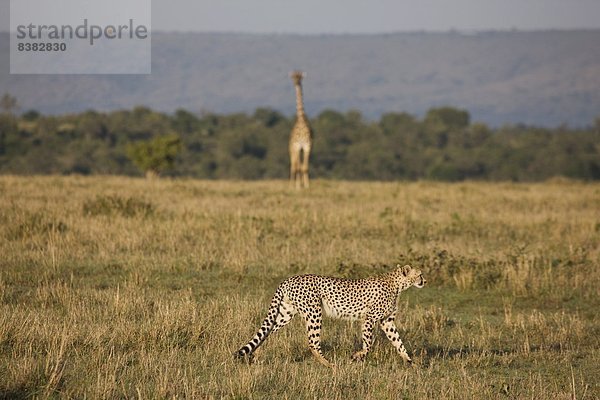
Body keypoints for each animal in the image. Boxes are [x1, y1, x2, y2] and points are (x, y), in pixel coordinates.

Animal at [236, 264, 426, 368]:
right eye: (420, 274)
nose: (425, 281)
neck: (397, 284)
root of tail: (288, 279)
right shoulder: (369, 319)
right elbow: (369, 343)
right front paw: (358, 356)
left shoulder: (387, 321)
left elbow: (398, 342)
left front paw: (411, 362)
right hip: (314, 312)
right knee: (313, 343)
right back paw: (330, 365)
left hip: (285, 313)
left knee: (267, 331)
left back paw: (256, 354)